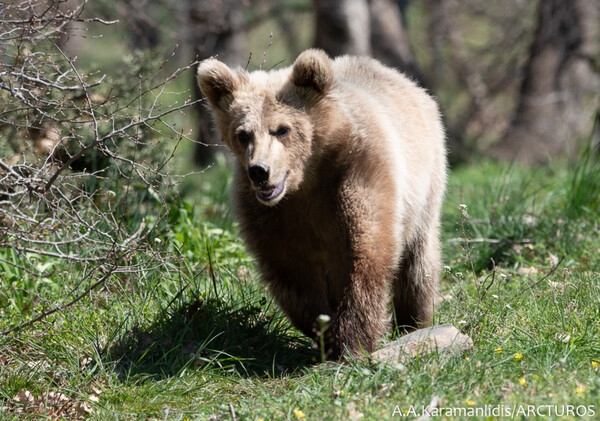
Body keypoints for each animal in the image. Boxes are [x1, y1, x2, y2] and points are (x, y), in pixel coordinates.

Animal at [197, 48, 446, 358]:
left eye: (282, 129)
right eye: (243, 134)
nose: (260, 171)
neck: (307, 178)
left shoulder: (357, 173)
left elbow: (365, 251)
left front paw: (352, 341)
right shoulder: (273, 214)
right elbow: (291, 272)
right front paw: (324, 331)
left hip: (426, 183)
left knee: (418, 263)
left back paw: (414, 321)